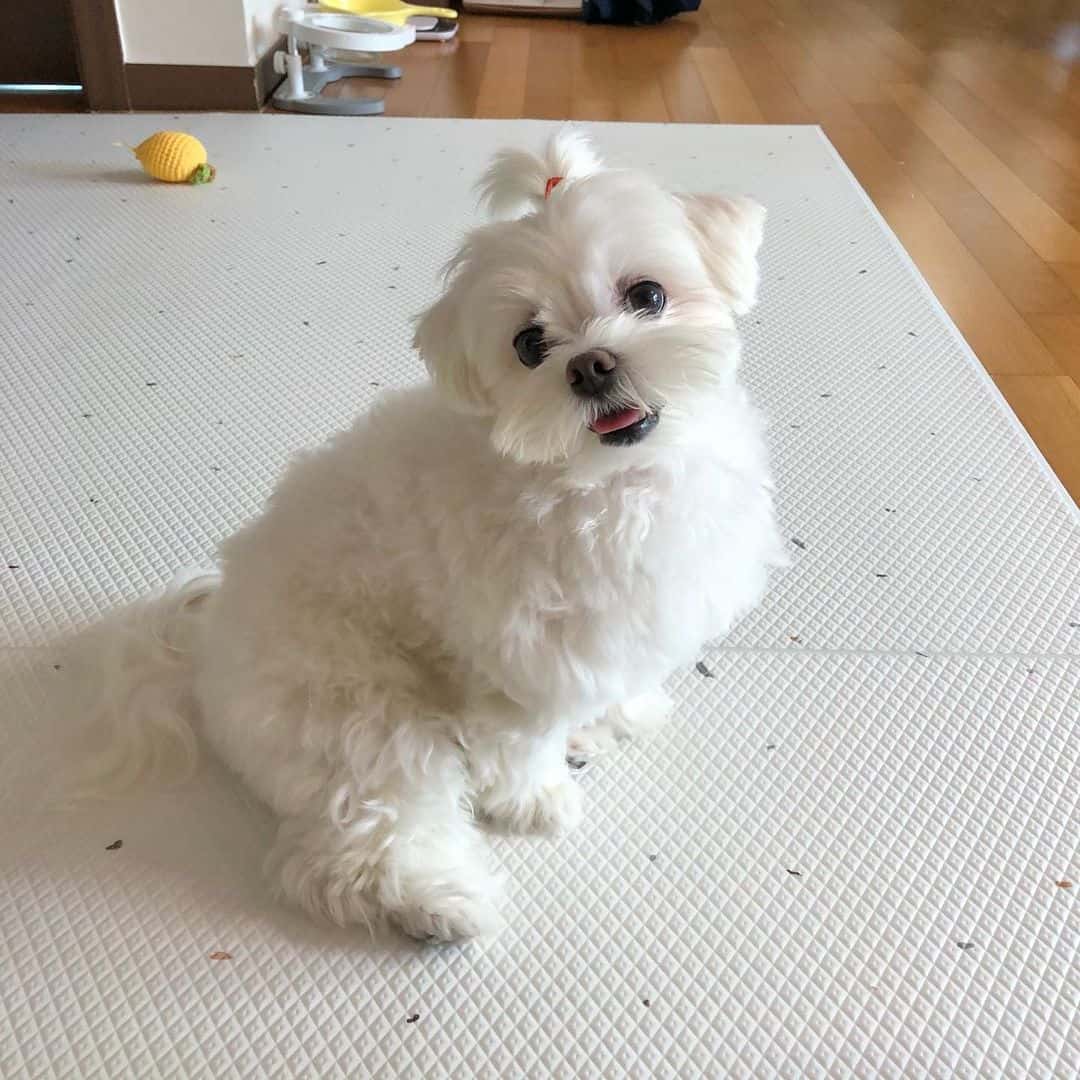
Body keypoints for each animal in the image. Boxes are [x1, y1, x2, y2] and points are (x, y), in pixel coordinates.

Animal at [84, 130, 781, 941]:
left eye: (647, 295)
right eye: (529, 343)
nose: (591, 365)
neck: (611, 483)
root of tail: (203, 653)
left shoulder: (630, 620)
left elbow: (616, 679)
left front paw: (618, 714)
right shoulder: (518, 657)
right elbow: (519, 745)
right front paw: (535, 800)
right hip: (360, 711)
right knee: (360, 833)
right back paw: (437, 901)